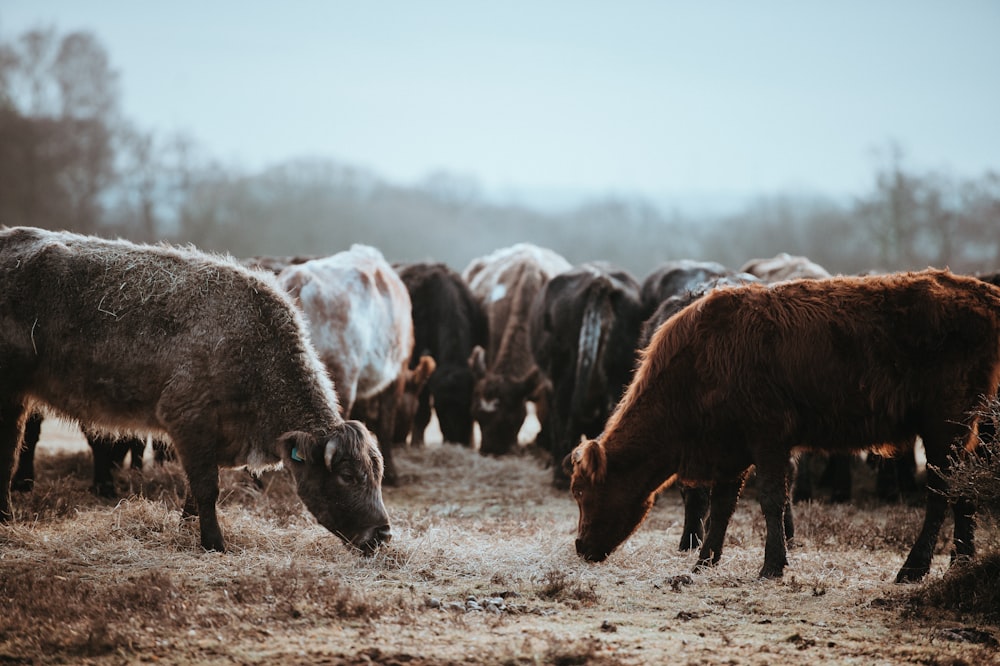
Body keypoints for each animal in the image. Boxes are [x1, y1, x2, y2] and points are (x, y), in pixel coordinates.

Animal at [0, 226, 390, 552]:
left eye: (377, 475)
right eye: (347, 475)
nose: (383, 533)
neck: (254, 346)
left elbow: (192, 490)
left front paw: (188, 529)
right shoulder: (188, 421)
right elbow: (206, 488)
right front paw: (213, 543)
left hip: (17, 399)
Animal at [572, 268, 1000, 580]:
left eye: (580, 491)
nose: (579, 546)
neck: (700, 362)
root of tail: (981, 293)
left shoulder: (768, 439)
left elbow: (771, 500)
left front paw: (772, 565)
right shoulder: (731, 449)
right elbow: (721, 507)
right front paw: (705, 560)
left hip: (943, 427)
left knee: (940, 494)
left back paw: (913, 568)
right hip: (963, 432)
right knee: (964, 489)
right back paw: (961, 562)